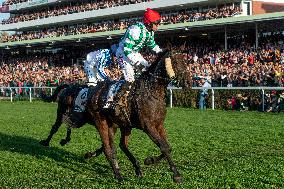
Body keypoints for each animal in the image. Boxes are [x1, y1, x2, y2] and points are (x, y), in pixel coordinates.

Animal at [84, 50, 190, 183]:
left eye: (185, 61)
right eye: (175, 61)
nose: (188, 82)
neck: (153, 91)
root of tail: (93, 91)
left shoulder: (159, 124)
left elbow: (167, 146)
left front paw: (150, 160)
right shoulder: (148, 126)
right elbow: (164, 146)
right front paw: (176, 174)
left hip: (121, 124)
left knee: (120, 145)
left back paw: (136, 168)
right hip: (101, 122)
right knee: (108, 148)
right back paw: (118, 175)